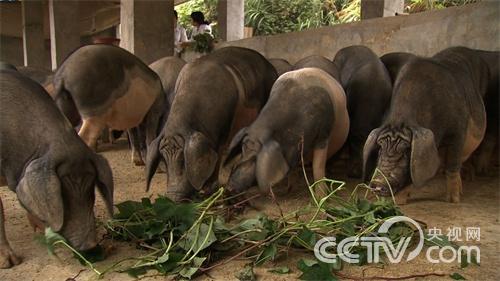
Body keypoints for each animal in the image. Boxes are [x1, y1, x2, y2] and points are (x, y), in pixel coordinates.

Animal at [146, 46, 278, 199]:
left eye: (184, 160)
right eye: (164, 159)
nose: (173, 196)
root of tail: (271, 66)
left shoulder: (225, 129)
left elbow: (217, 155)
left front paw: (210, 189)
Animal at [221, 68, 350, 195]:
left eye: (254, 159)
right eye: (242, 151)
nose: (229, 188)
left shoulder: (323, 135)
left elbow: (317, 168)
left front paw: (320, 197)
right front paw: (288, 190)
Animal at [362, 47, 486, 202]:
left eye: (406, 151)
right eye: (380, 148)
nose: (378, 182)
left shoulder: (458, 129)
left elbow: (452, 164)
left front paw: (453, 199)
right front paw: (399, 202)